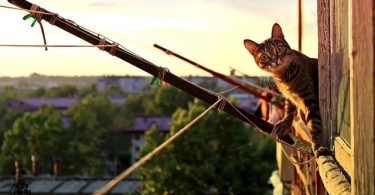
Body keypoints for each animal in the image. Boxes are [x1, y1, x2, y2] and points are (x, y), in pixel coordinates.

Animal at [244, 23, 328, 157]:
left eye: (278, 49)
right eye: (264, 57)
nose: (274, 60)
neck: (284, 77)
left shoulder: (310, 98)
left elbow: (314, 124)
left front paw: (316, 146)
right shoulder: (289, 97)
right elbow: (288, 111)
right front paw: (284, 125)